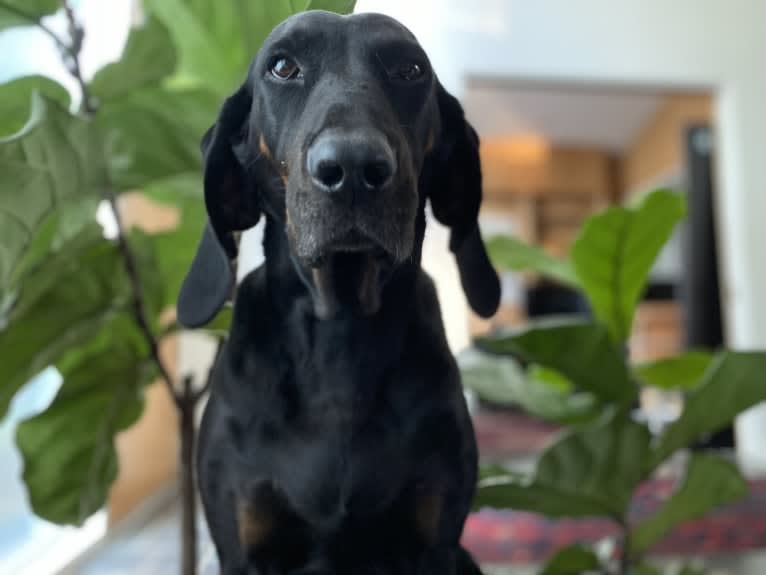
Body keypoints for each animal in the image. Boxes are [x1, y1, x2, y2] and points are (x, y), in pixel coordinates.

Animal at [180, 10, 504, 575]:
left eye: (409, 68)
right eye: (282, 66)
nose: (352, 168)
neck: (340, 340)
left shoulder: (435, 543)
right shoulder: (243, 546)